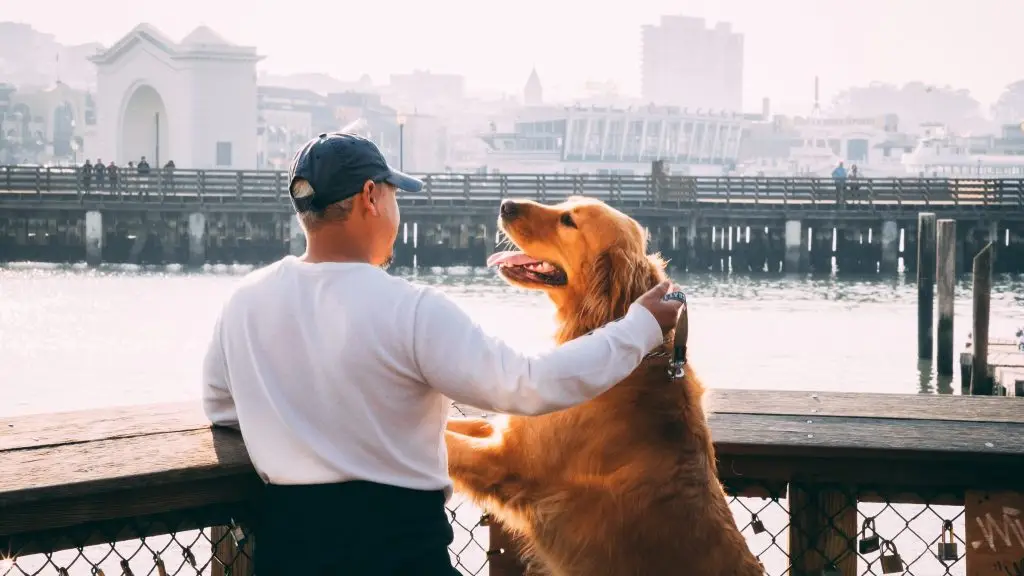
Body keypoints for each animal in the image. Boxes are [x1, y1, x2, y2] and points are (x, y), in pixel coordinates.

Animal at [444, 195, 765, 573]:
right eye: (564, 203)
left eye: (569, 221)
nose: (506, 204)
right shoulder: (504, 433)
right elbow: (458, 424)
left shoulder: (505, 461)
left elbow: (447, 444)